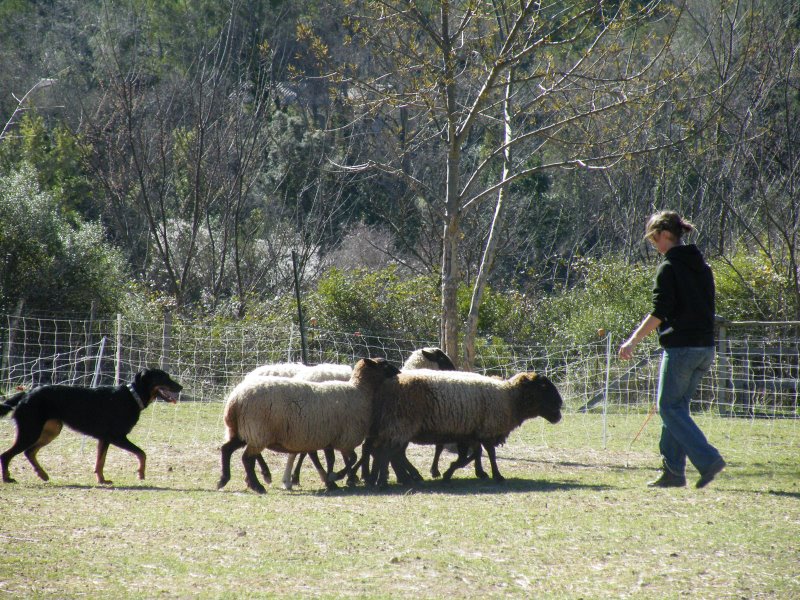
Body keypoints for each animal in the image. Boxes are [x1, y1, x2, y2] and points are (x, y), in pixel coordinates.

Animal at [0, 368, 182, 486]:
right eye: (164, 377)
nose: (181, 387)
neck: (133, 396)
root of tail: (26, 394)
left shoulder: (104, 439)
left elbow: (100, 462)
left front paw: (101, 480)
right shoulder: (117, 437)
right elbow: (142, 454)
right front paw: (141, 474)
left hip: (51, 430)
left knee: (29, 452)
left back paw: (42, 474)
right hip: (30, 431)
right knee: (7, 455)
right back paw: (8, 478)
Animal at [216, 358, 400, 494]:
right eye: (383, 364)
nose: (399, 372)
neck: (360, 391)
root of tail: (235, 400)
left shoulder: (329, 437)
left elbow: (332, 459)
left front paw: (332, 480)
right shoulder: (344, 438)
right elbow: (353, 458)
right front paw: (338, 477)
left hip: (242, 430)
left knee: (227, 449)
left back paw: (223, 480)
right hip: (257, 430)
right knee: (247, 458)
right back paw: (258, 485)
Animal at [368, 370, 564, 488]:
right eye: (543, 387)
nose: (561, 404)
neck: (509, 398)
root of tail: (388, 385)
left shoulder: (471, 432)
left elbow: (474, 454)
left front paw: (457, 471)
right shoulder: (487, 429)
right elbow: (489, 453)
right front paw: (497, 475)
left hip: (398, 426)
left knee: (395, 454)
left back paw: (408, 477)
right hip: (401, 424)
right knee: (391, 453)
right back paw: (395, 479)